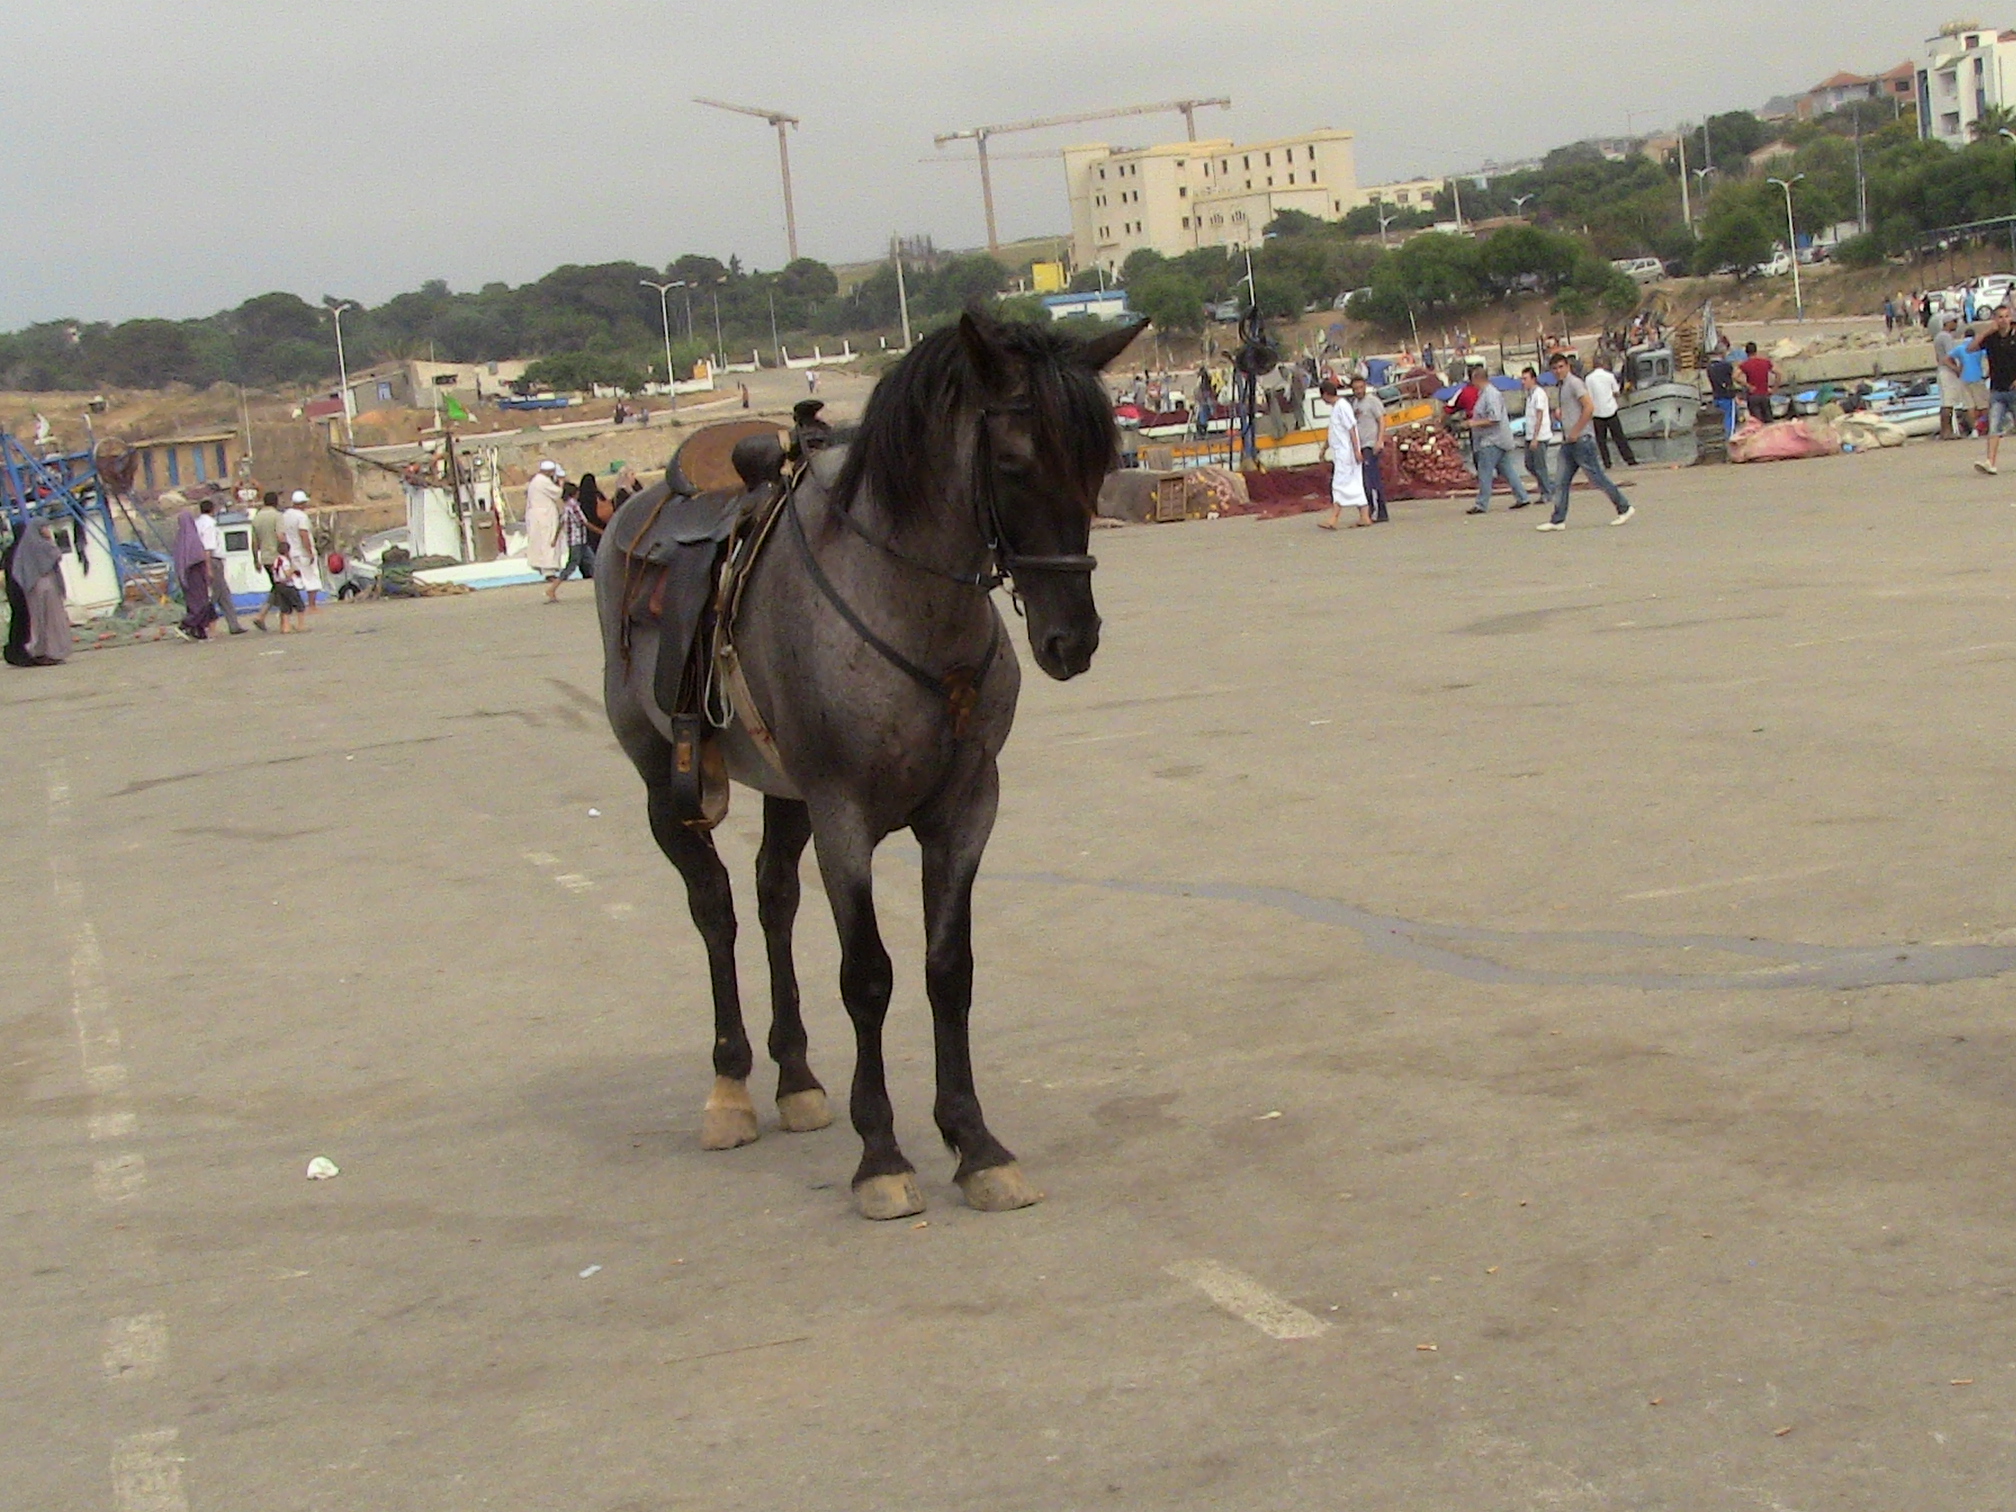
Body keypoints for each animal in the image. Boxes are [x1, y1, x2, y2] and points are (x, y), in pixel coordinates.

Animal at [598, 310, 1145, 1219]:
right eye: (1012, 463)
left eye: (1101, 463)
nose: (1074, 639)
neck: (905, 605)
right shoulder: (843, 816)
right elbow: (869, 977)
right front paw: (882, 1154)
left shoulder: (967, 808)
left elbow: (948, 970)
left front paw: (975, 1142)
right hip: (661, 781)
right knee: (715, 910)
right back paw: (731, 1088)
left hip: (784, 792)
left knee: (772, 898)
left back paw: (794, 1077)